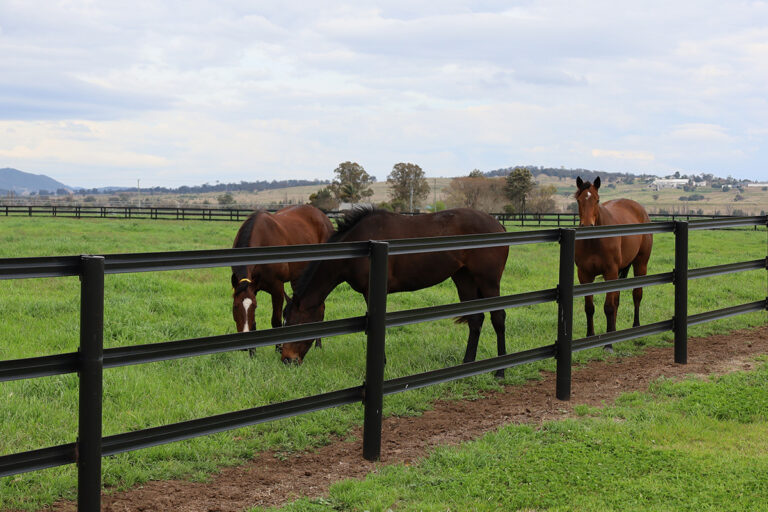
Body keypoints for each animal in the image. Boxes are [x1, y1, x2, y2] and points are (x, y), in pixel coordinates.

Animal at [231, 205, 334, 351]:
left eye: (255, 306)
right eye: (235, 306)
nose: (244, 344)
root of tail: (323, 216)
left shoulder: (277, 288)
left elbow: (276, 321)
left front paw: (278, 349)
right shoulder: (253, 287)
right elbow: (254, 323)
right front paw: (253, 353)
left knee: (321, 306)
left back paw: (318, 344)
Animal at [280, 207, 509, 375]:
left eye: (295, 324)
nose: (287, 360)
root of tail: (498, 225)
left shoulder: (371, 292)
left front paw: (381, 365)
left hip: (488, 281)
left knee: (498, 317)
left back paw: (500, 371)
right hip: (464, 279)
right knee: (475, 319)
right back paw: (467, 364)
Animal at [573, 176, 653, 349]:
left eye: (597, 200)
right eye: (578, 200)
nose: (587, 225)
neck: (594, 241)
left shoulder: (610, 272)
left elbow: (608, 307)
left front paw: (608, 346)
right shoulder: (584, 274)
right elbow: (589, 307)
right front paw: (590, 336)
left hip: (640, 264)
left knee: (637, 295)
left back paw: (635, 328)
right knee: (617, 299)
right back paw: (614, 331)